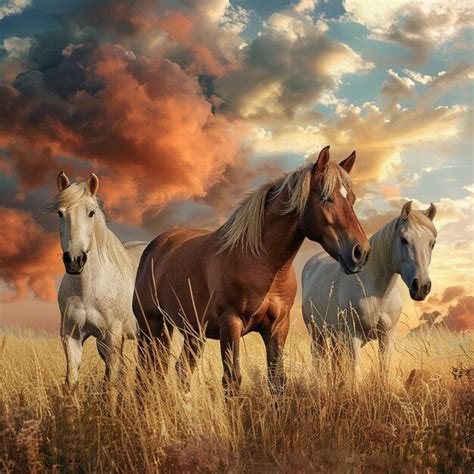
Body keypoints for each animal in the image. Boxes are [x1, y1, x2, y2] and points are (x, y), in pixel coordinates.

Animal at [52, 172, 147, 402]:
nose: (74, 260)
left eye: (91, 212)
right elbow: (72, 382)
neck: (87, 288)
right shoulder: (72, 337)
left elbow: (110, 384)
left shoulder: (112, 336)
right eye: (60, 213)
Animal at [132, 146, 370, 394]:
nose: (360, 252)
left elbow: (277, 380)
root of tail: (156, 246)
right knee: (145, 375)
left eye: (352, 199)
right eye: (325, 198)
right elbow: (232, 380)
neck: (263, 263)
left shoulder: (277, 328)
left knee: (180, 371)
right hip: (150, 327)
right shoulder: (231, 324)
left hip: (191, 332)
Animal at [304, 200, 436, 382]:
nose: (421, 287)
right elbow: (356, 375)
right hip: (317, 335)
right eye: (404, 240)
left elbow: (384, 371)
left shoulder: (387, 336)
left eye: (432, 243)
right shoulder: (353, 337)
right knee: (318, 363)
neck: (379, 294)